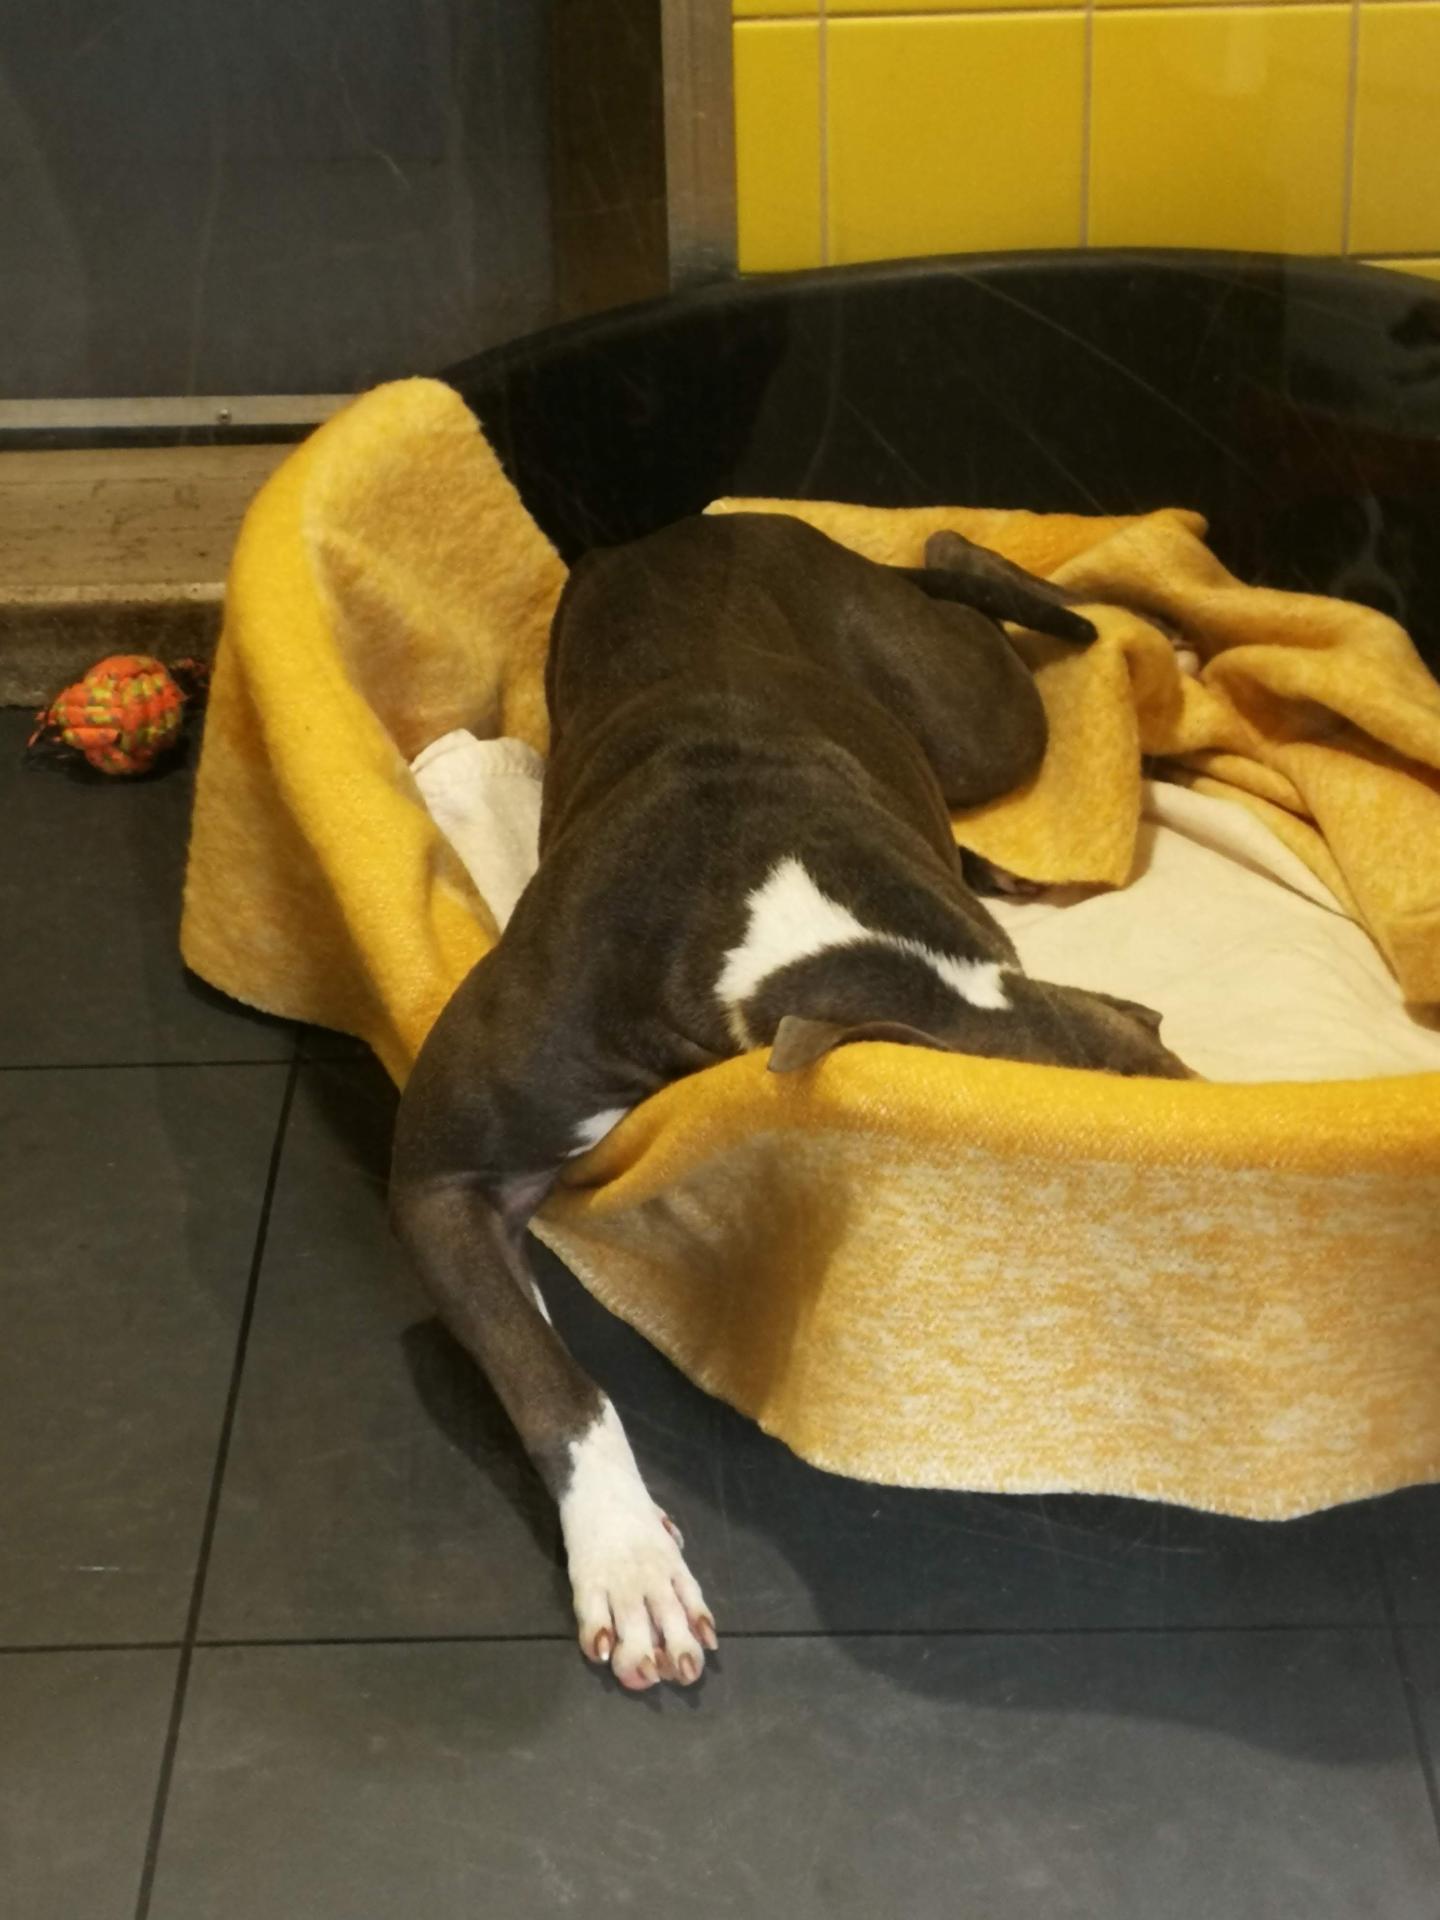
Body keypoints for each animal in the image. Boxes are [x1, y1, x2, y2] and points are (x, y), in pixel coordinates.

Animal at [395, 514, 1198, 1697]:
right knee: (967, 572)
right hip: (980, 716)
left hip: (961, 719)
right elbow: (555, 1381)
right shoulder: (442, 1176)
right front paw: (631, 1568)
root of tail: (704, 520)